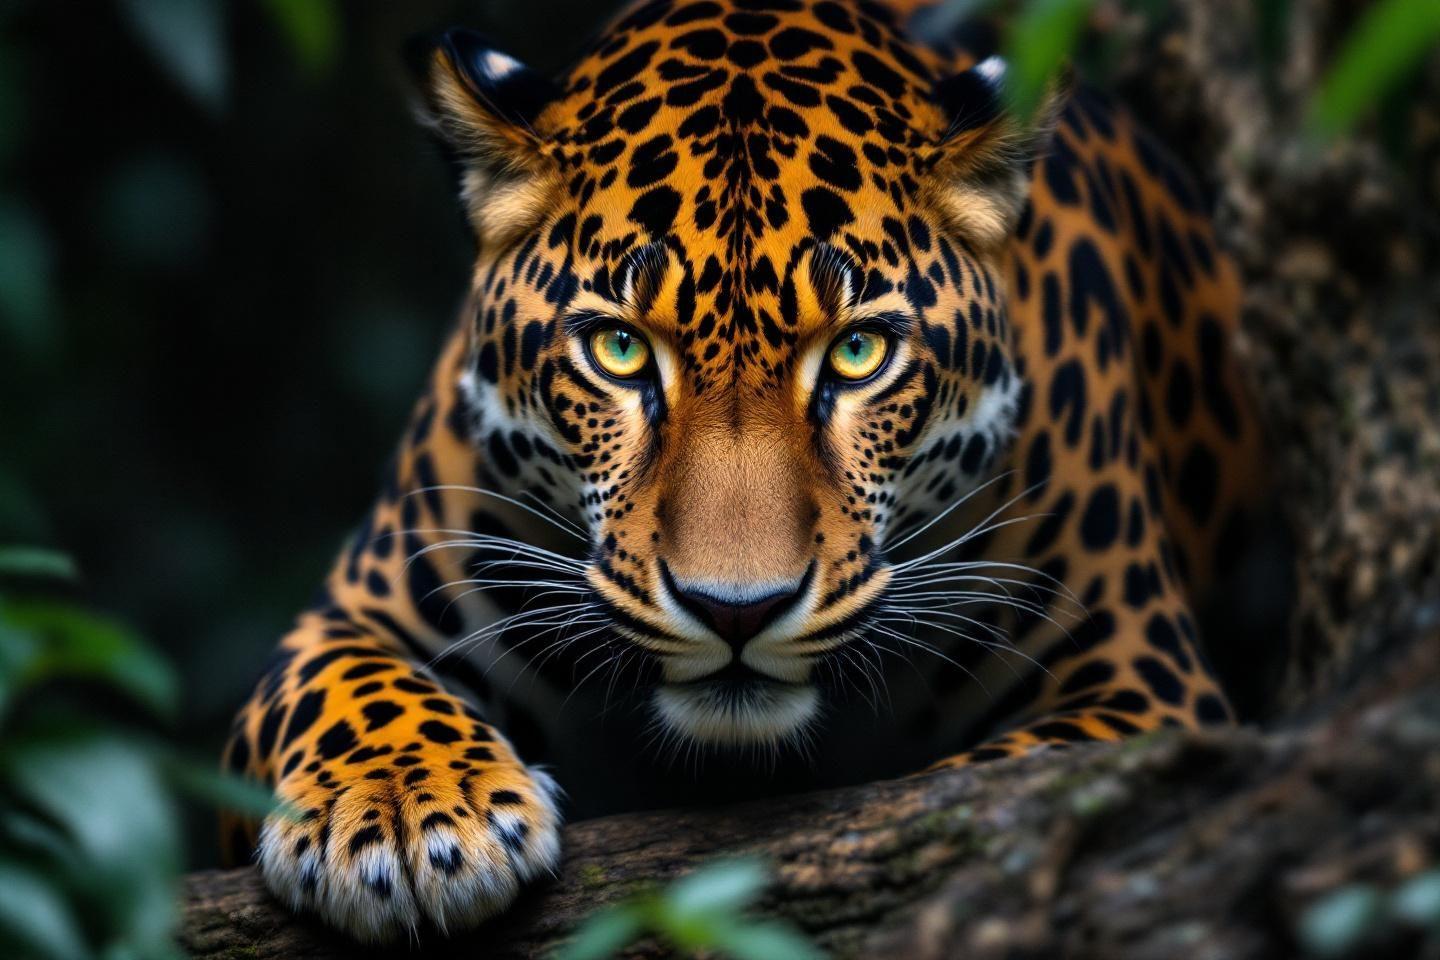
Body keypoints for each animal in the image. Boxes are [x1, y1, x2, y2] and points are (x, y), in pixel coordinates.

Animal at [221, 0, 1266, 941]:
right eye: (619, 351)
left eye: (857, 354)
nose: (736, 611)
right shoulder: (360, 609)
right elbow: (349, 691)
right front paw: (409, 818)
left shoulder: (1141, 676)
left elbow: (996, 795)